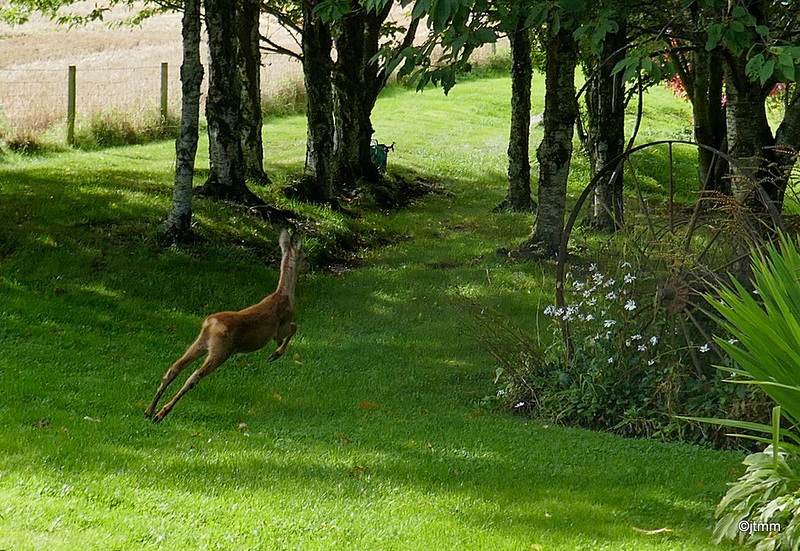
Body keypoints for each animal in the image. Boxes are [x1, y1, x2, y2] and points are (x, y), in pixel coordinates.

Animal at [142, 227, 308, 422]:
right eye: (305, 256)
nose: (309, 266)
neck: (285, 295)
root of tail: (211, 323)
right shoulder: (280, 327)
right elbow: (294, 327)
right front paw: (275, 354)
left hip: (201, 343)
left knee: (174, 368)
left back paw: (149, 411)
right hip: (222, 351)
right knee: (193, 377)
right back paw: (161, 413)